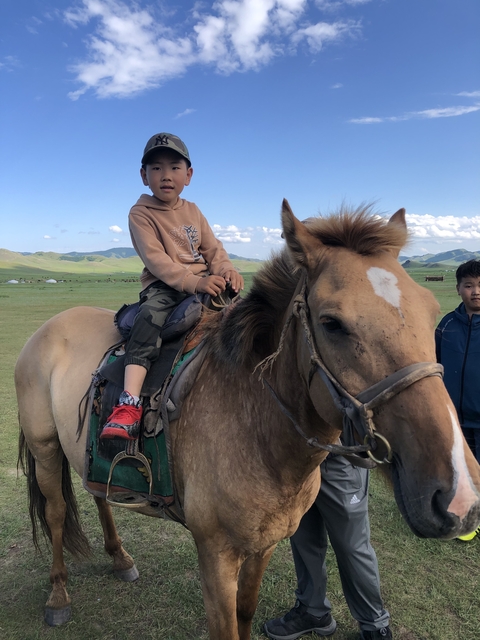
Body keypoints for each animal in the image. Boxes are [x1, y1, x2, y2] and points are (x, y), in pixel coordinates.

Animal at [16, 200, 480, 639]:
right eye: (332, 323)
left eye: (430, 311)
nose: (458, 495)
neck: (257, 428)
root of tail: (48, 329)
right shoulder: (215, 554)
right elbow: (225, 626)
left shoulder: (264, 546)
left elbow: (246, 613)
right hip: (45, 448)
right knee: (56, 513)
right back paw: (58, 596)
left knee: (97, 491)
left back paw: (119, 558)